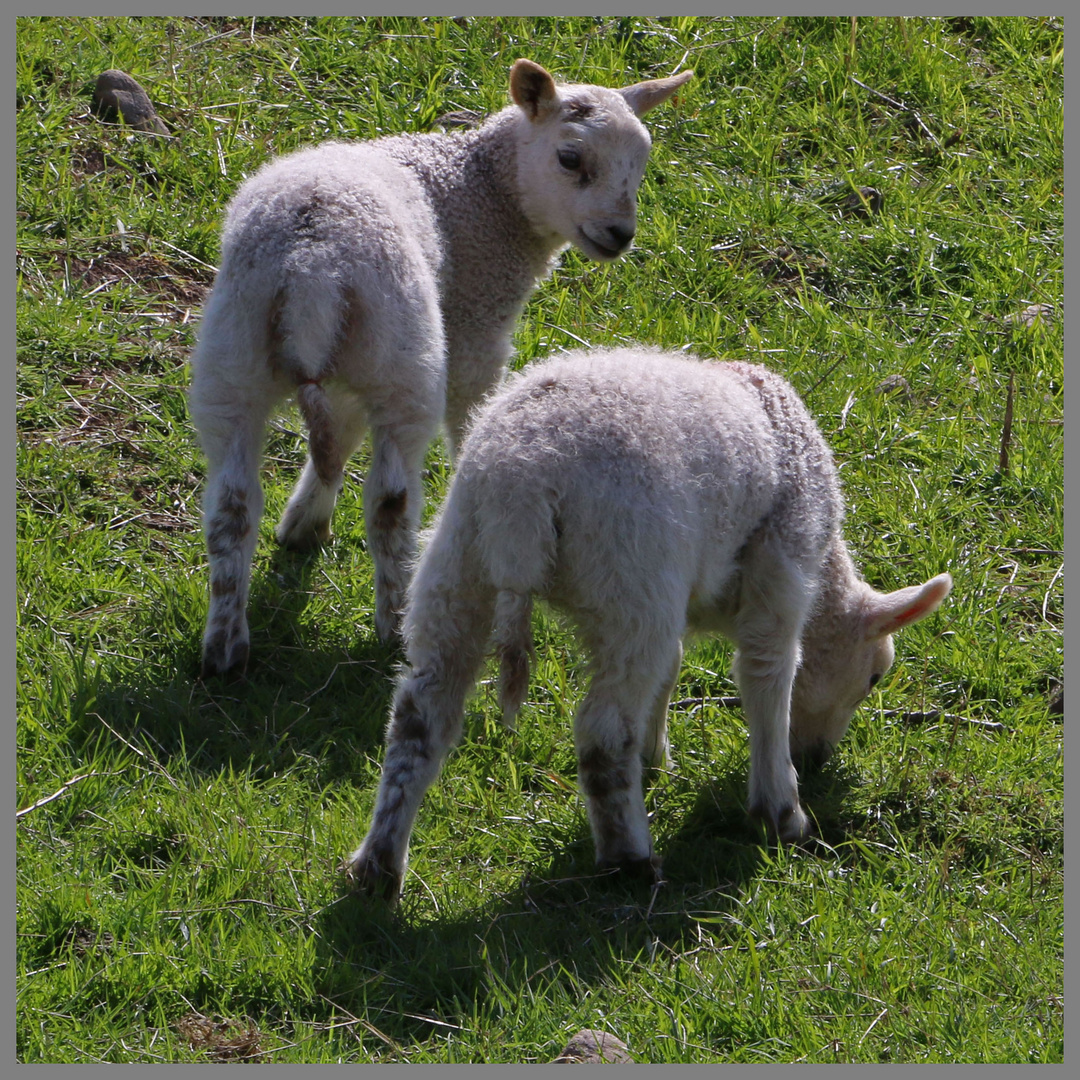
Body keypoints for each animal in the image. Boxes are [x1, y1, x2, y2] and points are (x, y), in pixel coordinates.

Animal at [187, 56, 691, 673]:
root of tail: (312, 265)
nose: (620, 235)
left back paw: (225, 645)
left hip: (237, 356)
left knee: (232, 505)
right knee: (388, 502)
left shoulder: (354, 368)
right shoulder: (474, 328)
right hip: (406, 359)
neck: (478, 192)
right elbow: (467, 417)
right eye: (570, 158)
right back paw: (396, 623)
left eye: (640, 162)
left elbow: (339, 437)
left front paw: (305, 522)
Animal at [349, 347, 950, 902]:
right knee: (601, 732)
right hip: (628, 572)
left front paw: (654, 755)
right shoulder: (780, 570)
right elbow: (767, 680)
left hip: (460, 562)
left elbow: (673, 666)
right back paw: (629, 860)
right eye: (874, 677)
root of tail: (523, 481)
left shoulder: (679, 596)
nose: (816, 758)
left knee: (421, 714)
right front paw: (781, 810)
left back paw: (378, 866)